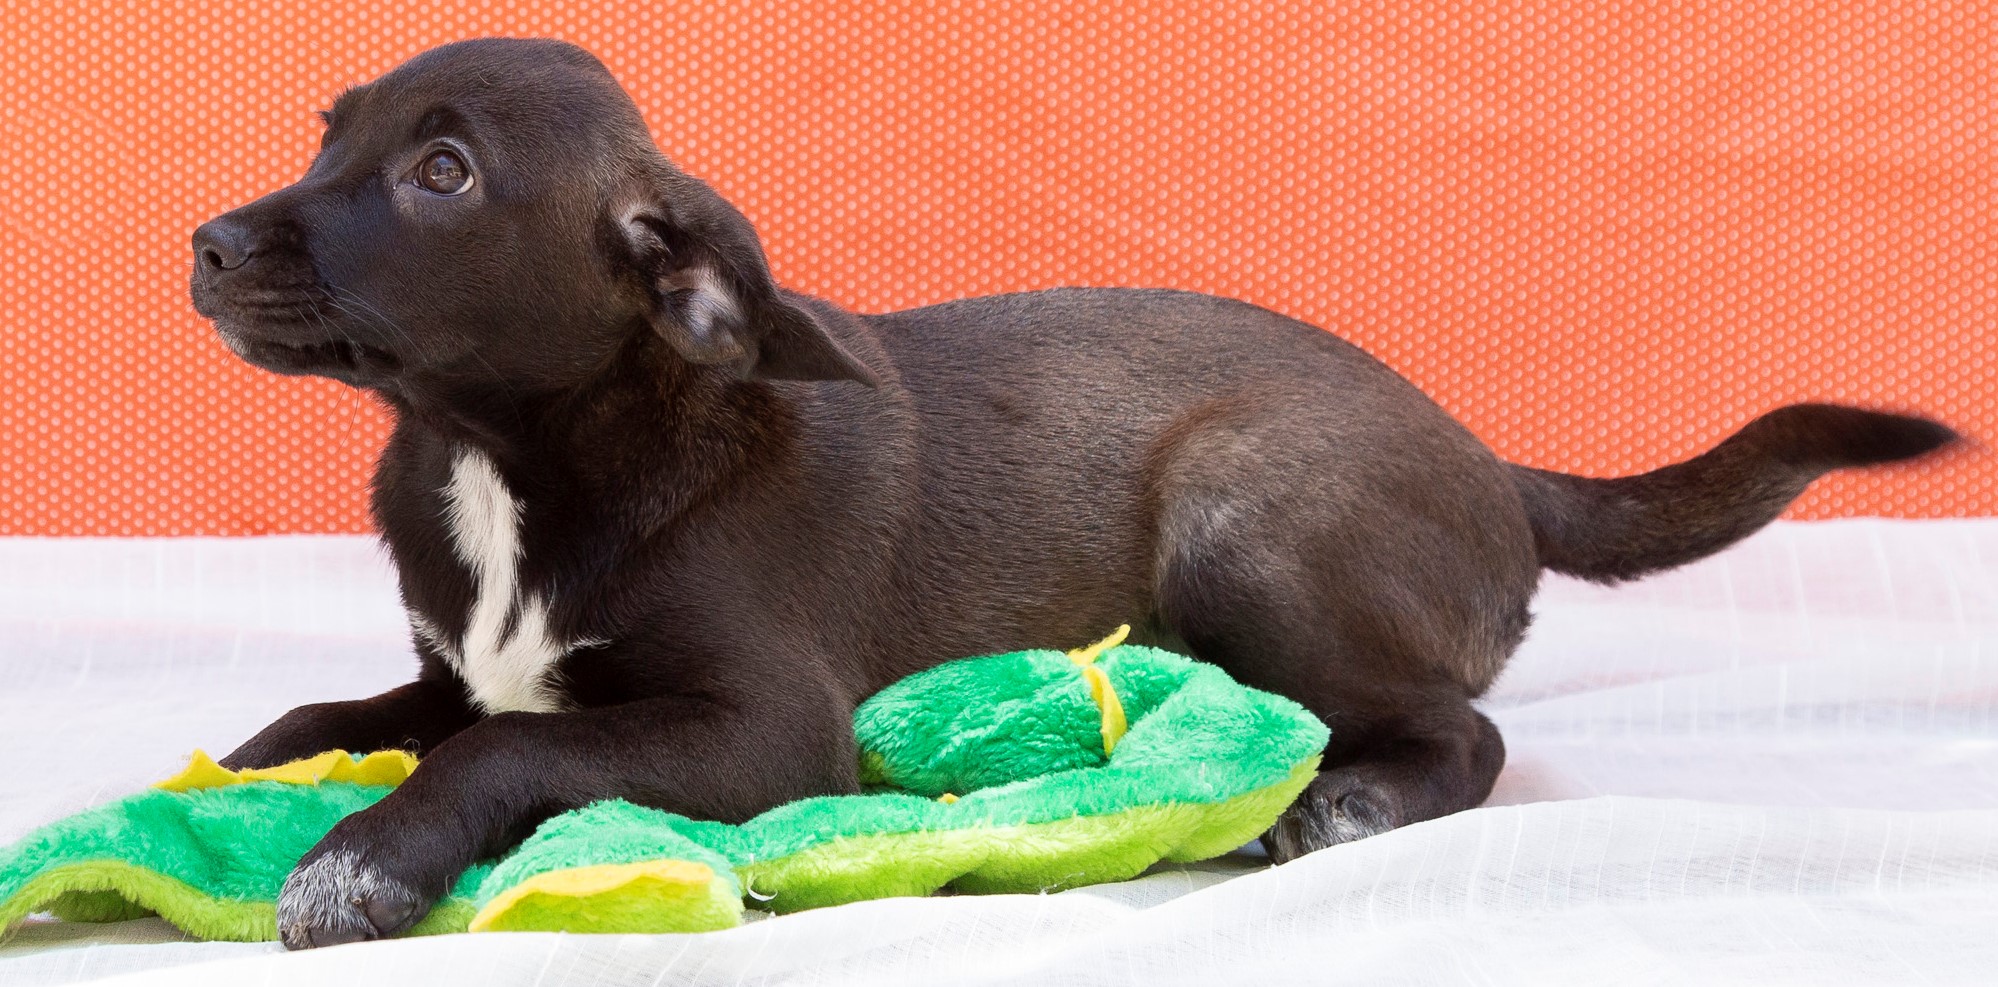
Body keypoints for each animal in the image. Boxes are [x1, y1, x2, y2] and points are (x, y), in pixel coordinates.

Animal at [187, 38, 1950, 947]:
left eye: (444, 173)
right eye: (328, 130)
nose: (203, 241)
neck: (506, 455)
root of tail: (1487, 459)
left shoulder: (764, 730)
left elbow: (507, 745)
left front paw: (360, 853)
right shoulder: (456, 662)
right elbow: (348, 712)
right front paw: (252, 769)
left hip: (1246, 511)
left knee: (1462, 727)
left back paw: (1353, 797)